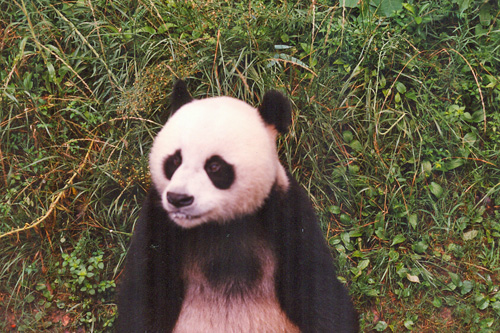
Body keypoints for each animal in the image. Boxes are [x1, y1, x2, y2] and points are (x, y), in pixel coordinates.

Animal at [117, 80, 360, 332]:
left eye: (214, 166)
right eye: (174, 160)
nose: (178, 198)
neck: (221, 226)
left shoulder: (288, 213)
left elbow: (320, 294)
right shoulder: (158, 222)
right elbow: (144, 295)